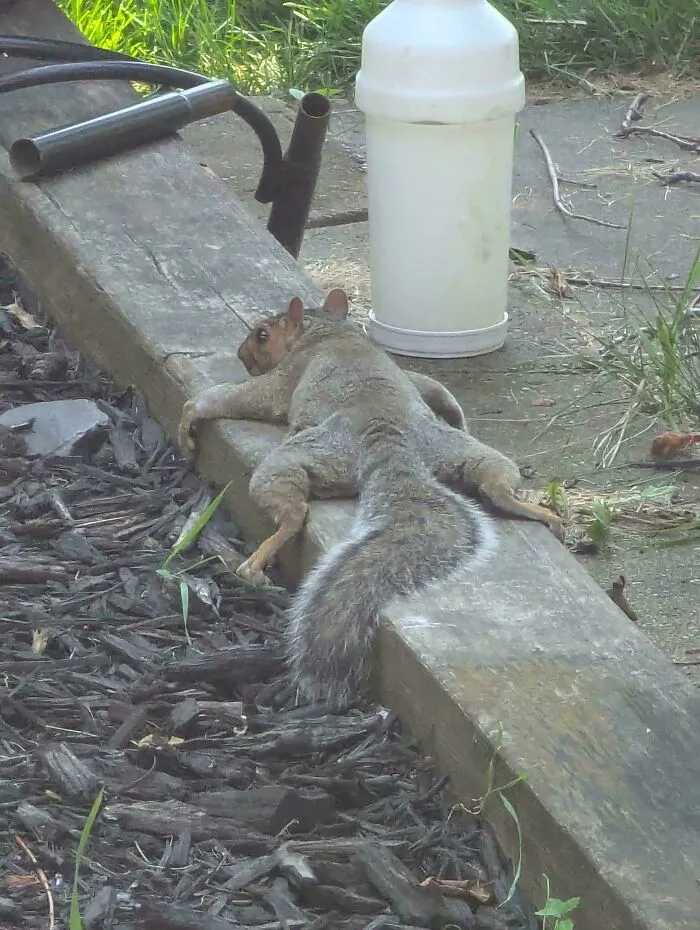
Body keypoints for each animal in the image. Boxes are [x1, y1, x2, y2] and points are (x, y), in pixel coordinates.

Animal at [177, 288, 562, 707]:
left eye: (262, 334)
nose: (241, 354)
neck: (329, 329)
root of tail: (389, 442)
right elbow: (433, 389)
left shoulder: (284, 378)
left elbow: (236, 398)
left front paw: (190, 418)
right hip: (465, 451)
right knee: (495, 486)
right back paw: (543, 511)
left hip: (300, 456)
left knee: (294, 514)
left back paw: (255, 564)